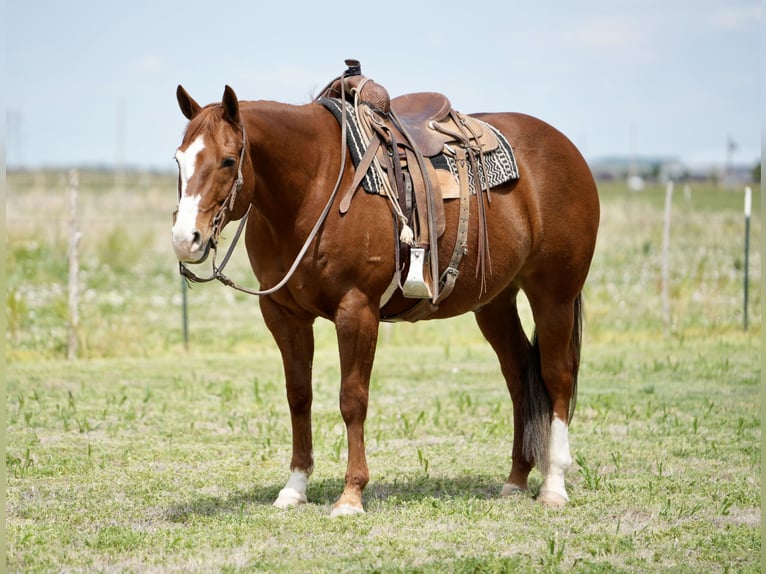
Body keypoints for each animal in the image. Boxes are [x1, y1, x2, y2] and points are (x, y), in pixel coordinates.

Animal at [171, 71, 604, 516]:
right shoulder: (283, 314)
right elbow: (299, 396)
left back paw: (554, 485)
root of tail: (566, 148)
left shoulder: (356, 309)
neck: (314, 184)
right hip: (495, 302)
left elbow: (352, 399)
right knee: (519, 376)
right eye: (179, 159)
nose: (186, 239)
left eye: (228, 160)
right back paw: (516, 479)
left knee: (557, 376)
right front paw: (294, 487)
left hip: (554, 294)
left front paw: (351, 495)